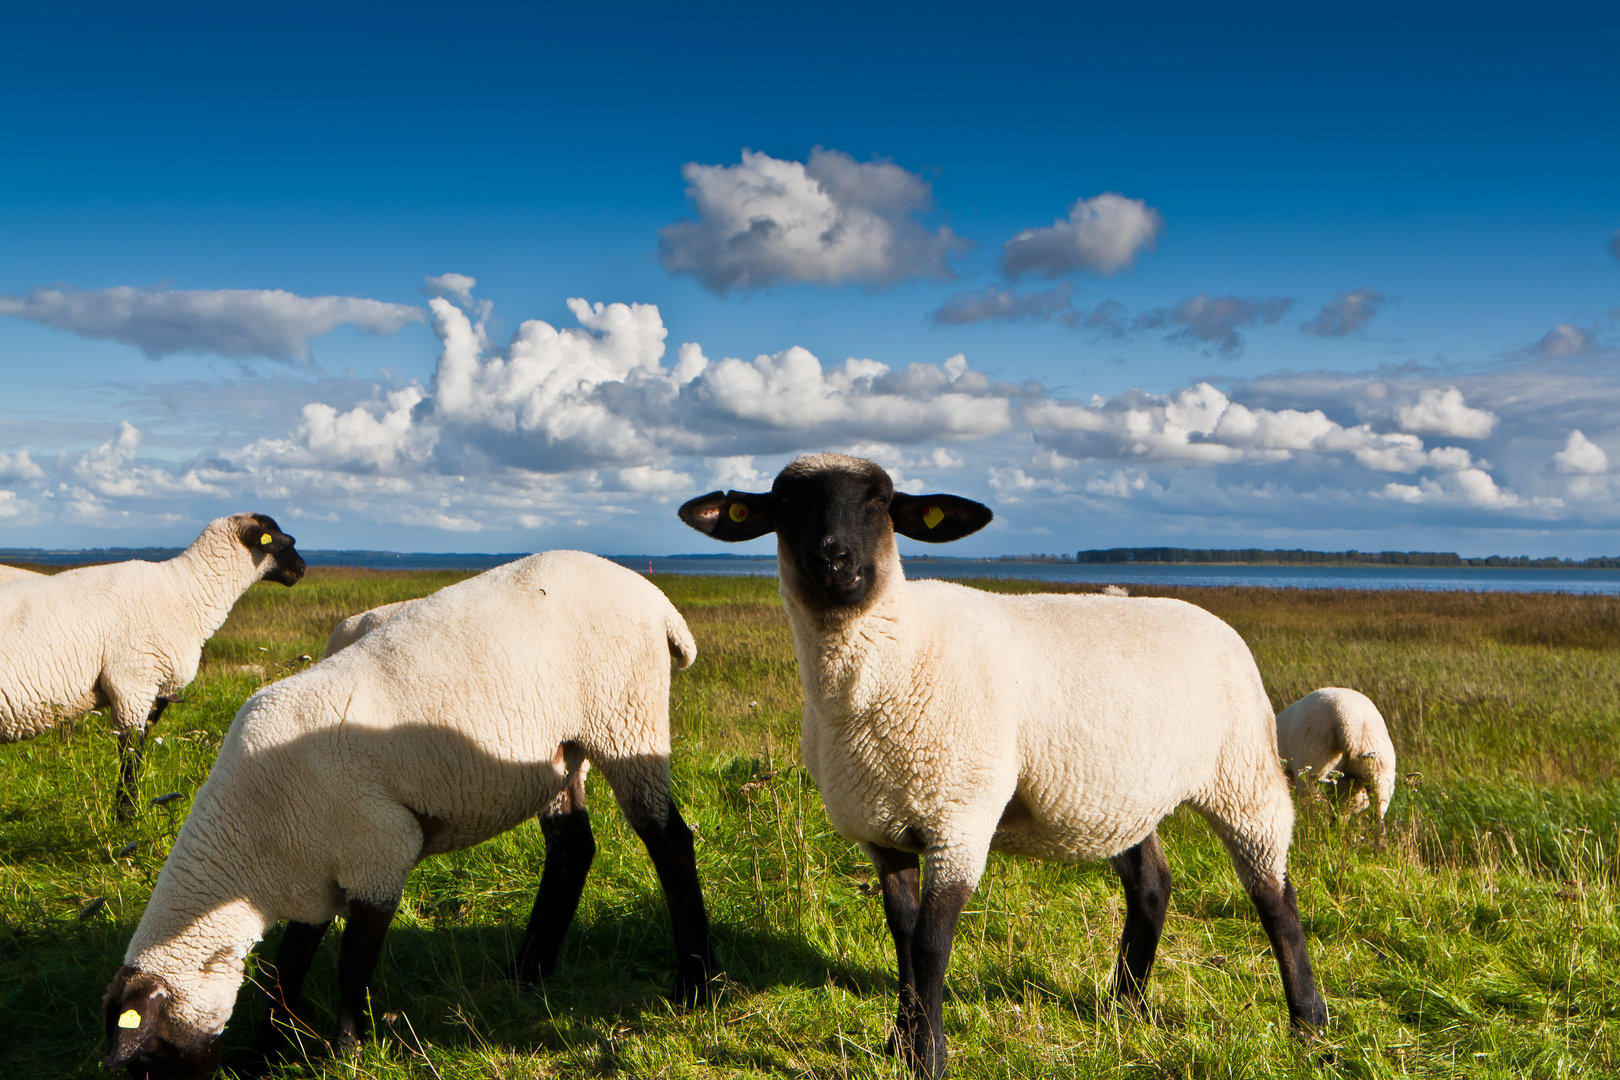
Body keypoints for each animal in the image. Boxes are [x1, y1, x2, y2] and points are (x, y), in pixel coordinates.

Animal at [0, 514, 304, 819]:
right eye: (282, 541)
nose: (302, 568)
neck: (187, 591)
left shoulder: (153, 691)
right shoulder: (131, 683)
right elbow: (131, 752)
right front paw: (127, 816)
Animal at [677, 456, 1321, 1080]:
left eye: (881, 501)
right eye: (785, 503)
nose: (834, 560)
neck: (888, 662)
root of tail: (1210, 619)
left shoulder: (958, 819)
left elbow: (930, 946)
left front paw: (928, 1058)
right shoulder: (880, 828)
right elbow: (902, 937)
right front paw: (899, 1042)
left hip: (1243, 776)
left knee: (1274, 894)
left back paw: (1308, 1023)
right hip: (1120, 796)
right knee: (1152, 886)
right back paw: (1126, 1006)